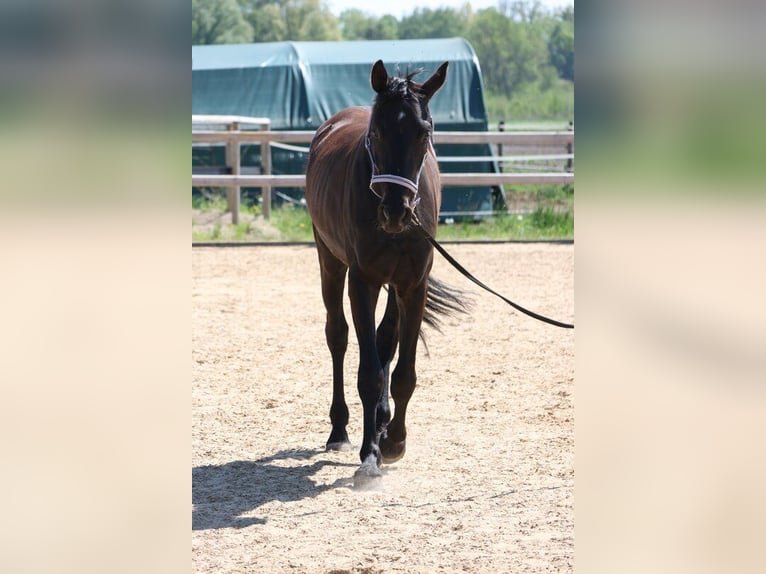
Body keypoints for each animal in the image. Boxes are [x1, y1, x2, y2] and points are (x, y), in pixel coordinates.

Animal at [305, 60, 467, 488]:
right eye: (376, 132)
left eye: (423, 132)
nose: (396, 211)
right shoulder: (363, 281)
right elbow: (369, 373)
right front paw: (370, 457)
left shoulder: (413, 285)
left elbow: (402, 371)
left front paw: (393, 441)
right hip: (330, 261)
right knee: (338, 337)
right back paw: (341, 430)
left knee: (385, 342)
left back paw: (380, 422)